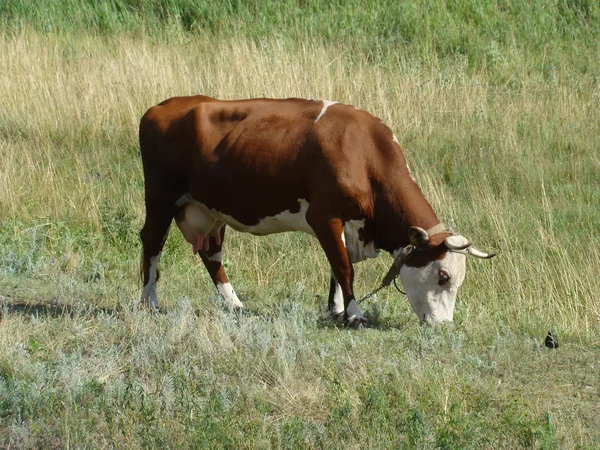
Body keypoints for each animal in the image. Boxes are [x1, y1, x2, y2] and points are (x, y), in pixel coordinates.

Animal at [138, 96, 494, 326]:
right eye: (443, 275)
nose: (444, 325)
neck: (363, 153)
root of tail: (163, 106)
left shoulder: (343, 226)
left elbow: (336, 267)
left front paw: (336, 310)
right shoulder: (324, 216)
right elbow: (344, 267)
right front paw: (355, 315)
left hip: (210, 211)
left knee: (211, 254)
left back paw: (234, 304)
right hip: (161, 198)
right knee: (152, 243)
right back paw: (149, 303)